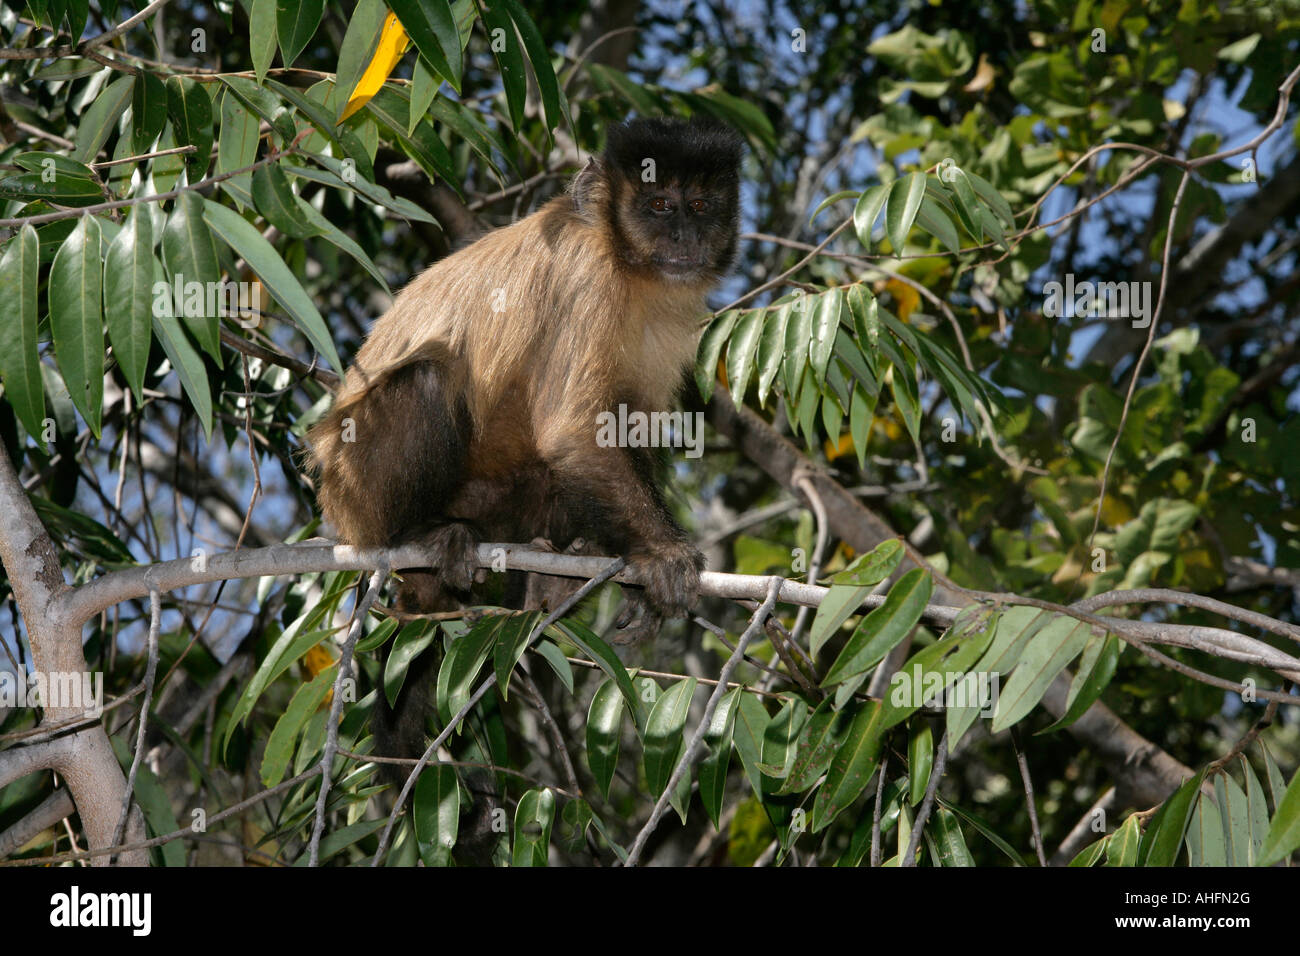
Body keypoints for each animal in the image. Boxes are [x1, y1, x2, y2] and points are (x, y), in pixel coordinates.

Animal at [305, 111, 748, 801]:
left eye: (700, 207)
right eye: (659, 205)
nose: (683, 235)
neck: (629, 268)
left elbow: (626, 426)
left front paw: (639, 582)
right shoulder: (588, 277)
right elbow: (573, 434)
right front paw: (664, 557)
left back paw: (550, 576)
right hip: (354, 489)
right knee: (430, 381)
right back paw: (421, 537)